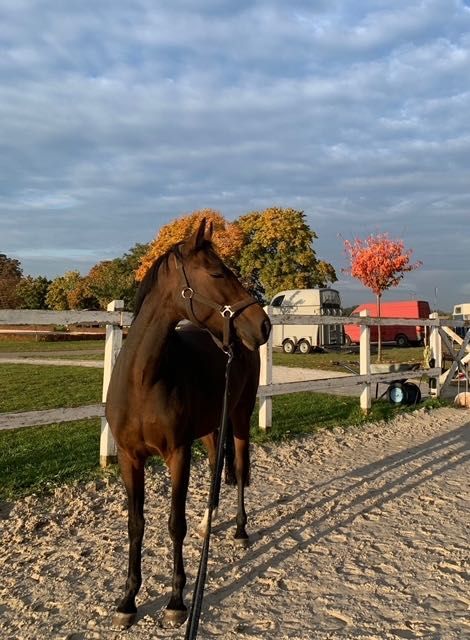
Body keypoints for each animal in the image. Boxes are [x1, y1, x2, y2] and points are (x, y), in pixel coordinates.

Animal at [104, 218, 270, 628]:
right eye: (217, 272)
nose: (264, 325)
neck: (143, 380)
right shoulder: (130, 459)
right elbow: (136, 525)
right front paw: (128, 600)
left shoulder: (177, 454)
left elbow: (174, 523)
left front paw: (177, 600)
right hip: (212, 427)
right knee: (215, 467)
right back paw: (209, 522)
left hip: (239, 417)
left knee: (239, 466)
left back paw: (240, 530)